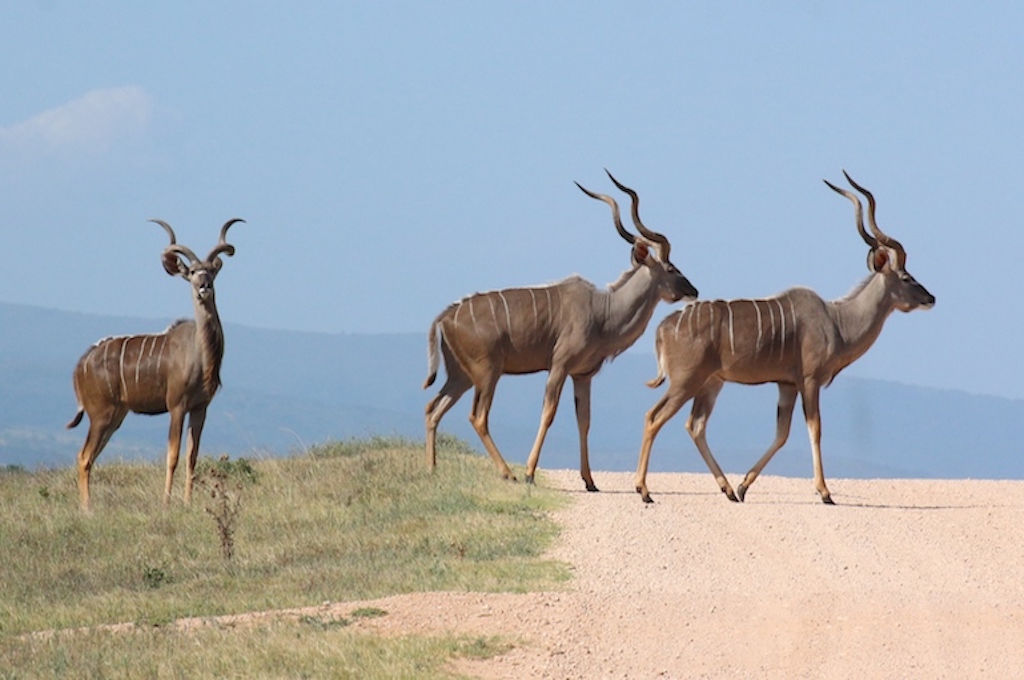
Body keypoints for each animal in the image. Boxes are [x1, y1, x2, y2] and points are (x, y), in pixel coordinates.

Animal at [68, 218, 243, 510]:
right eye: (192, 271)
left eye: (210, 271)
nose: (204, 287)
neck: (200, 354)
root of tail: (80, 366)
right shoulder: (176, 406)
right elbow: (172, 456)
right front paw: (166, 501)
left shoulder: (200, 408)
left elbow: (191, 457)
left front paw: (187, 501)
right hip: (101, 414)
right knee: (83, 457)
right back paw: (87, 509)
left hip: (115, 416)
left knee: (90, 457)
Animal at [421, 171, 696, 489]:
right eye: (671, 268)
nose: (694, 291)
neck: (603, 312)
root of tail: (445, 316)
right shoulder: (559, 366)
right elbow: (548, 413)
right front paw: (530, 472)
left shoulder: (583, 375)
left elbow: (584, 421)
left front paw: (589, 481)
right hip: (487, 372)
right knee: (477, 417)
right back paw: (508, 472)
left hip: (461, 376)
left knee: (432, 409)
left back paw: (432, 468)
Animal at [638, 174, 937, 503]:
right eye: (907, 277)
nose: (931, 298)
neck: (837, 321)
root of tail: (664, 327)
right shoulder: (809, 381)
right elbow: (814, 429)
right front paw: (824, 491)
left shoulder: (786, 384)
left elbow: (781, 434)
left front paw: (743, 486)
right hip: (686, 382)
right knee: (654, 417)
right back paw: (643, 490)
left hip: (710, 382)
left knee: (695, 425)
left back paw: (727, 488)